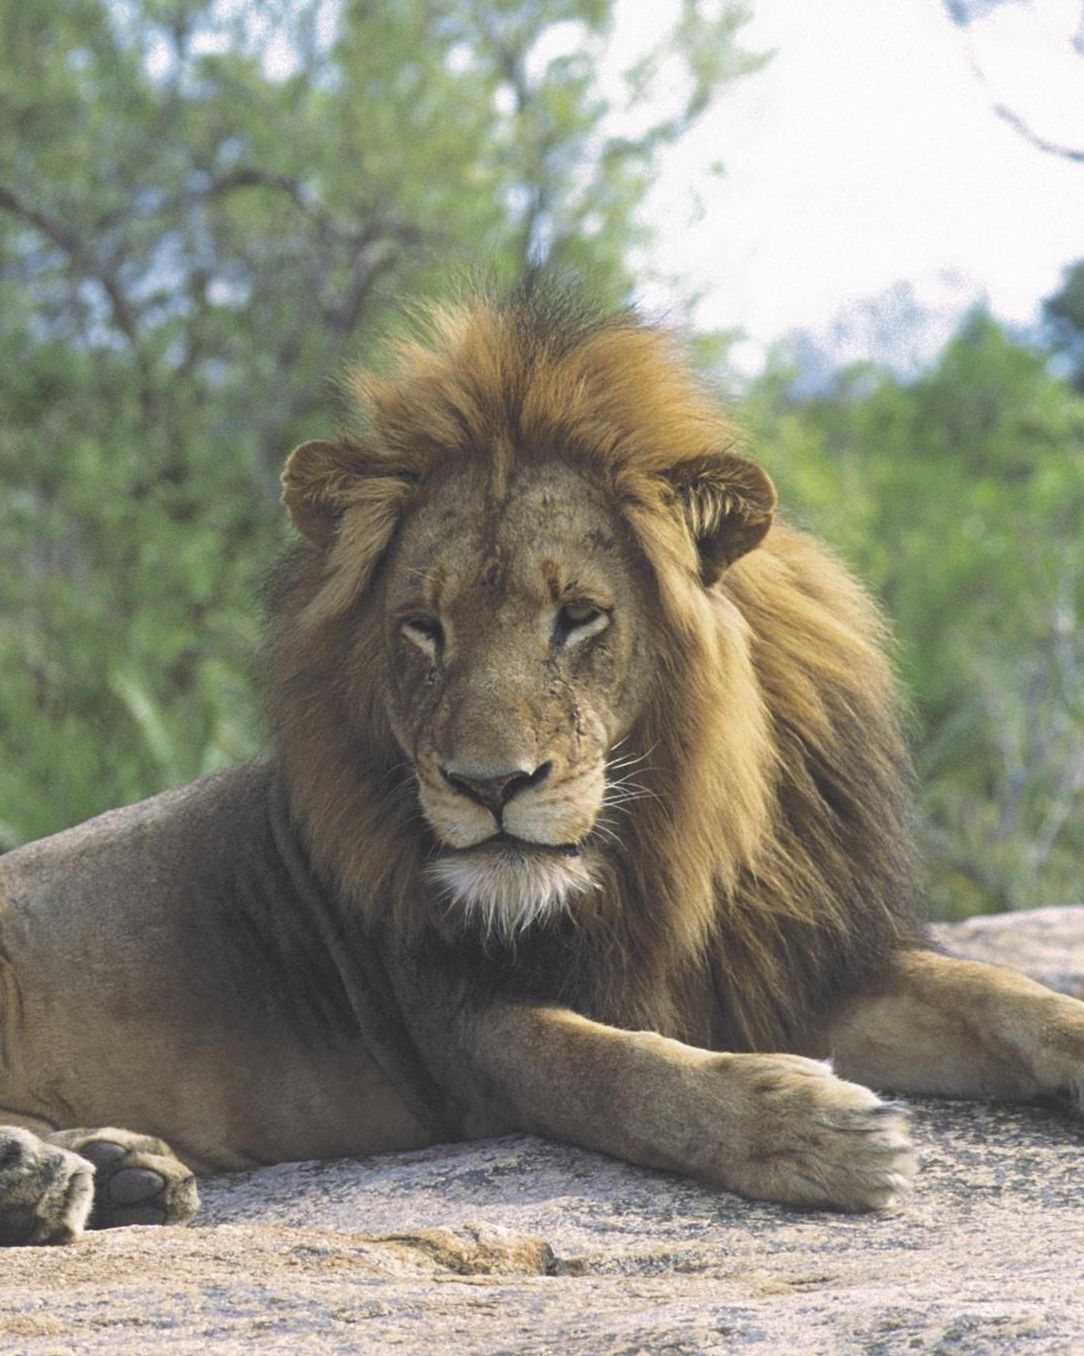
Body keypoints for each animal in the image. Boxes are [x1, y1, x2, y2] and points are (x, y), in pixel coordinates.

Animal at [2, 277, 1083, 1246]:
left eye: (579, 616)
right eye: (423, 626)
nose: (490, 786)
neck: (670, 848)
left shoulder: (796, 964)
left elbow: (1003, 997)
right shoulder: (464, 1025)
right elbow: (622, 1075)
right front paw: (813, 1131)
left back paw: (120, 1169)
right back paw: (47, 1178)